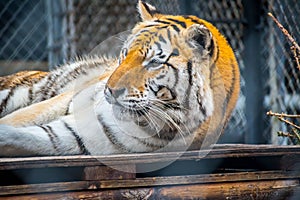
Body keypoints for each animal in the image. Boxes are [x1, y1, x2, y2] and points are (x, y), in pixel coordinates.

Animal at [0, 0, 239, 156]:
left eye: (154, 62)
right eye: (125, 54)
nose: (110, 90)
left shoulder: (82, 134)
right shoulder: (66, 101)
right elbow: (21, 117)